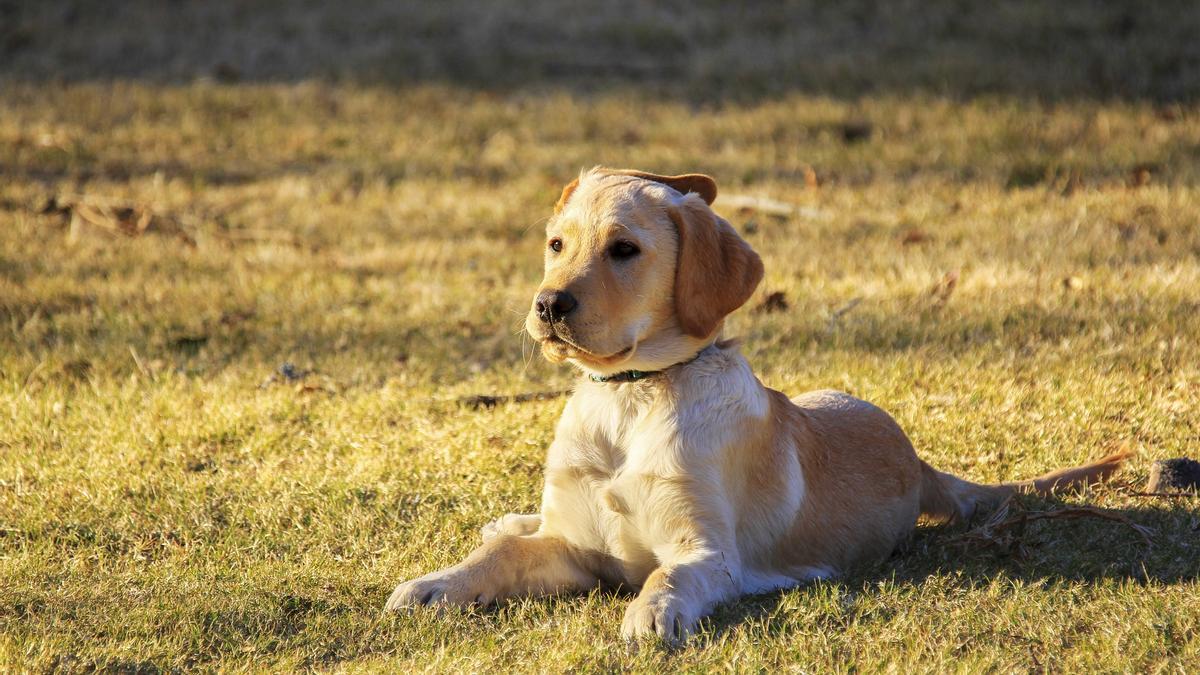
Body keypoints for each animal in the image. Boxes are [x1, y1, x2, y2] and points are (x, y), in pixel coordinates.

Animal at [386, 166, 1132, 638]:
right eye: (556, 244)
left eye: (624, 249)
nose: (547, 304)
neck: (631, 399)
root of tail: (918, 462)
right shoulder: (570, 545)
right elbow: (500, 560)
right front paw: (434, 584)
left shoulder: (707, 552)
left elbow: (668, 578)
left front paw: (651, 614)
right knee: (516, 530)